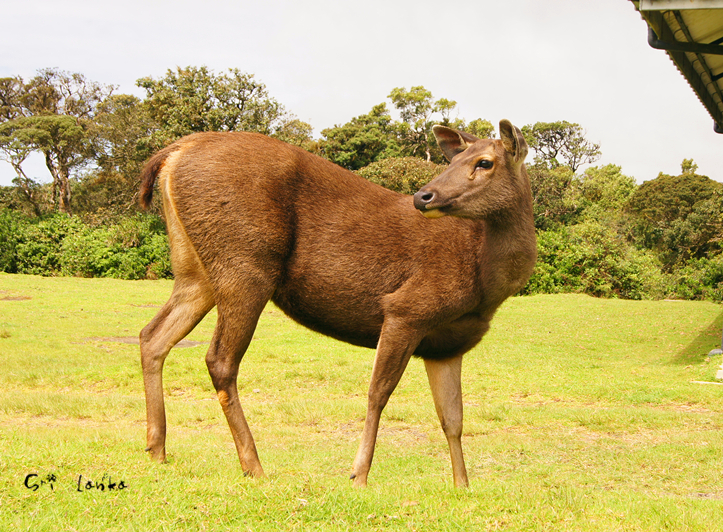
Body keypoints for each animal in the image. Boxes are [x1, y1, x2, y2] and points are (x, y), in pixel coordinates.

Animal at [137, 119, 536, 486]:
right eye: (455, 160)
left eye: (484, 162)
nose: (423, 196)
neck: (483, 280)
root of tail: (176, 152)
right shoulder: (407, 307)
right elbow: (378, 393)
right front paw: (358, 474)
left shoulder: (448, 345)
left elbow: (452, 418)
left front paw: (462, 485)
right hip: (245, 262)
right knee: (219, 359)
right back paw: (253, 465)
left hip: (194, 270)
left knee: (152, 336)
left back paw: (157, 450)